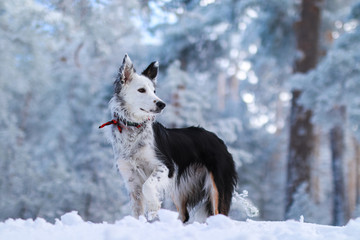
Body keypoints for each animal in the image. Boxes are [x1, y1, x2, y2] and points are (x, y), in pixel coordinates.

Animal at [100, 54, 238, 223]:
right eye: (141, 90)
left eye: (154, 90)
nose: (162, 104)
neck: (134, 128)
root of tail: (218, 140)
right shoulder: (131, 178)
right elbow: (137, 209)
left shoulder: (166, 166)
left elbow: (148, 186)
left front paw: (153, 207)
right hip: (180, 188)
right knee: (184, 215)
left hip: (217, 185)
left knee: (219, 212)